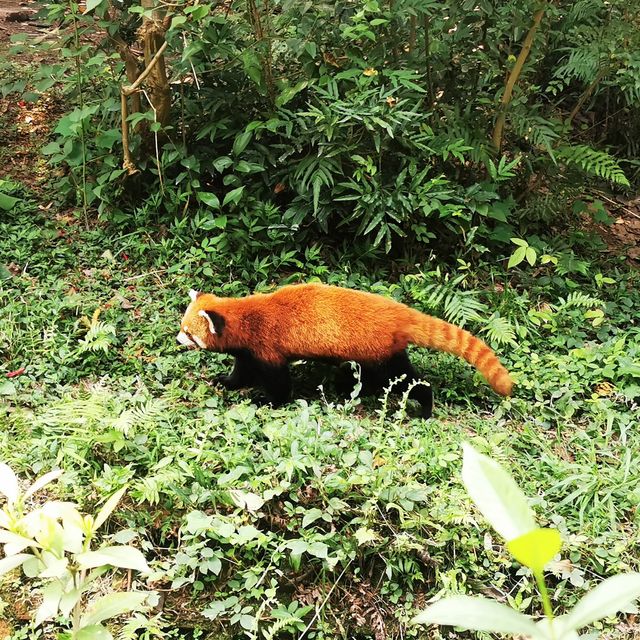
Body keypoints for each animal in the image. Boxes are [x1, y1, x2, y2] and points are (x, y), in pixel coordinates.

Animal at [176, 282, 516, 418]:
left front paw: (266, 401)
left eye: (188, 332)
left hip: (380, 353)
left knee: (406, 380)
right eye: (182, 327)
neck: (244, 317)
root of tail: (398, 312)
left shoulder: (267, 348)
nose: (178, 341)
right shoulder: (248, 351)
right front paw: (226, 381)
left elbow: (279, 384)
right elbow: (241, 371)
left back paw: (426, 407)